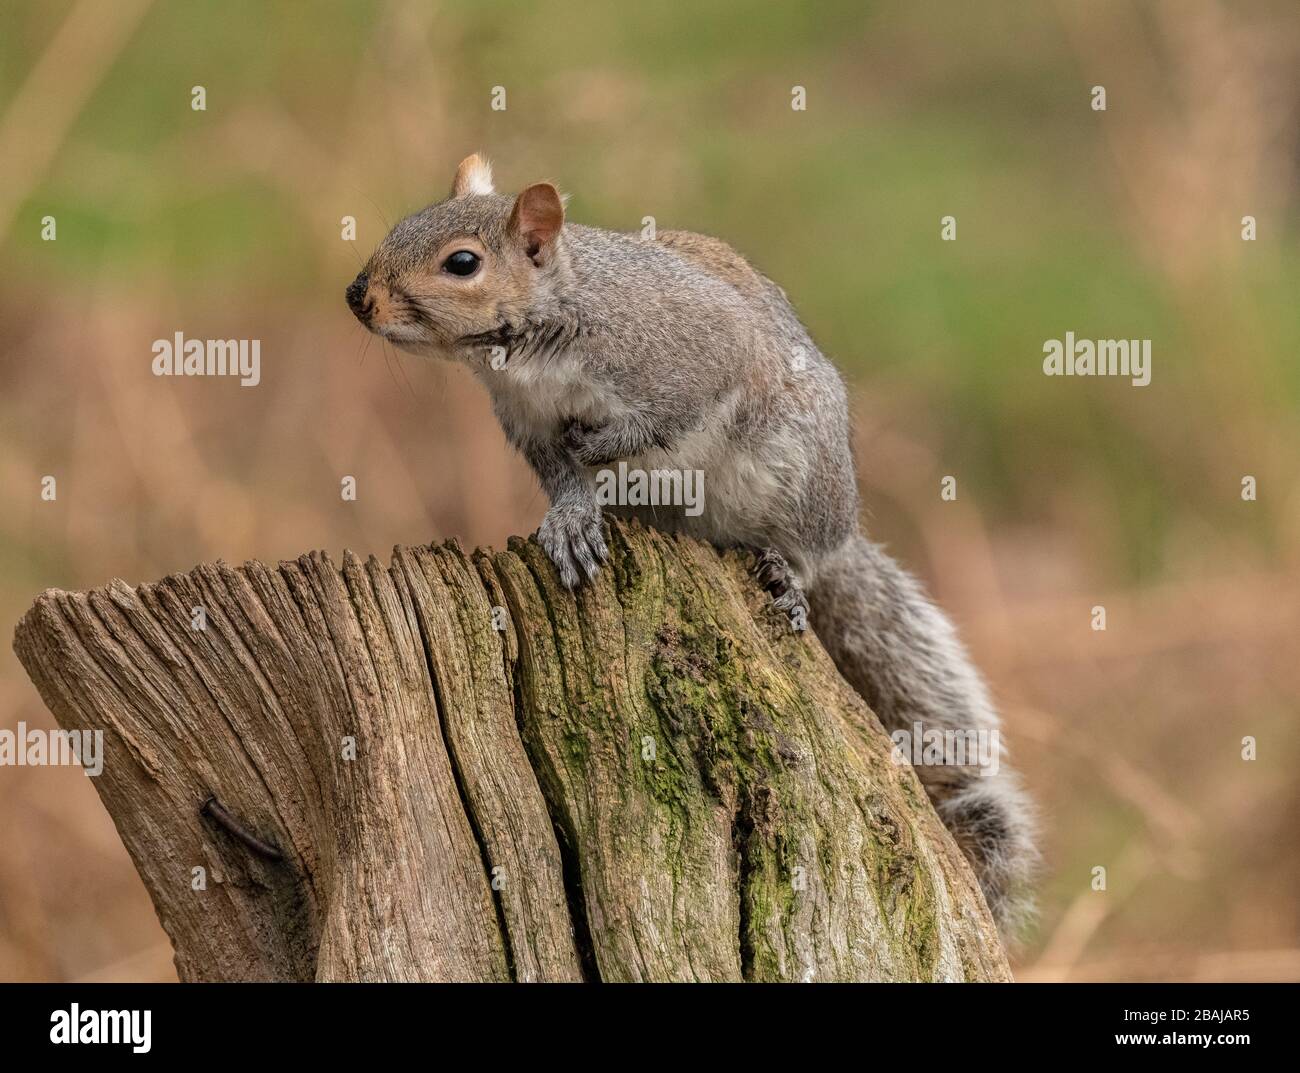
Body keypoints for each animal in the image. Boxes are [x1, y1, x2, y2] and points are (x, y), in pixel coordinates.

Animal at [347, 154, 1038, 939]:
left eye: (462, 263)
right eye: (403, 225)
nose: (359, 297)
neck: (536, 337)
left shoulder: (693, 352)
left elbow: (669, 412)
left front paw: (604, 442)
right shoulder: (525, 422)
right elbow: (562, 478)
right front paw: (571, 519)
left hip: (804, 486)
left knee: (808, 552)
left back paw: (787, 574)